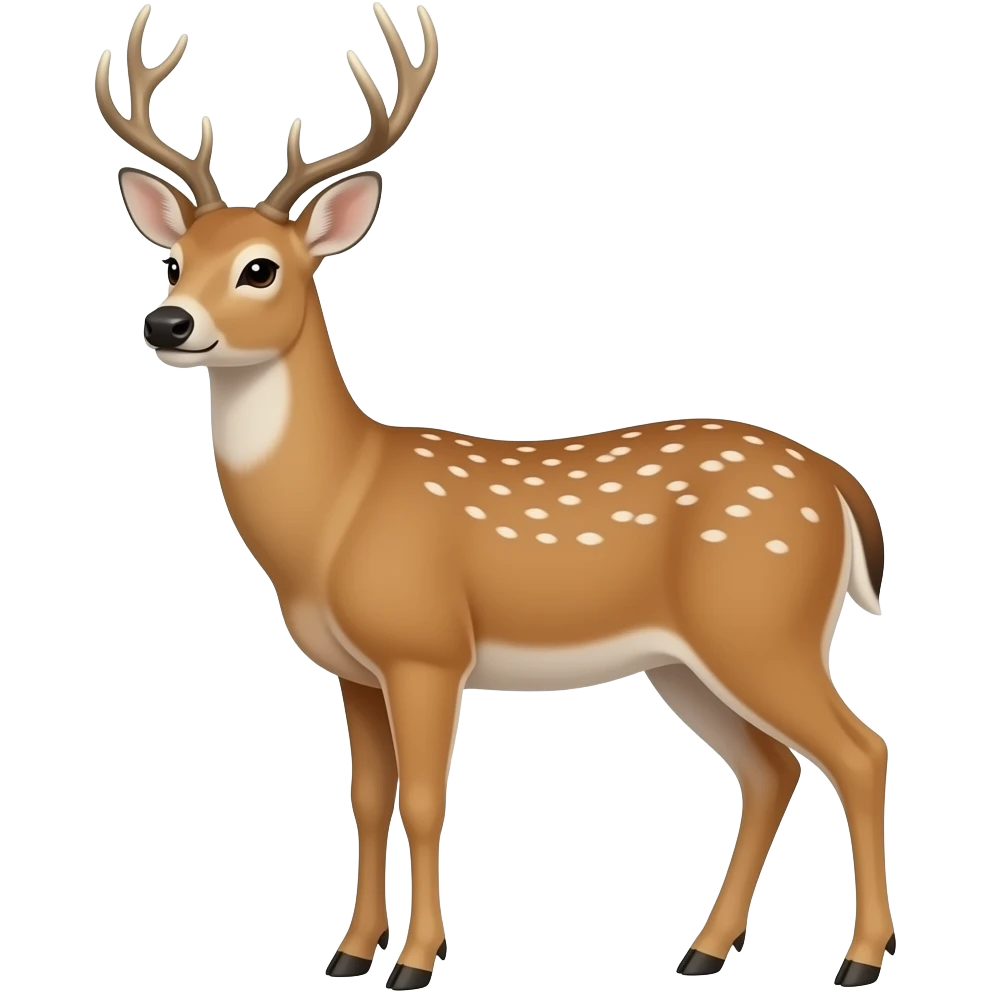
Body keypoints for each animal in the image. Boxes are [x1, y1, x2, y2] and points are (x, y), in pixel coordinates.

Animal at [95, 4, 894, 988]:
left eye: (260, 268)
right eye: (174, 259)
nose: (167, 323)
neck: (337, 511)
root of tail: (839, 481)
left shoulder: (428, 645)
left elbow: (425, 800)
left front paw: (415, 960)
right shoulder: (354, 669)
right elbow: (367, 798)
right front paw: (349, 953)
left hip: (763, 621)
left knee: (859, 752)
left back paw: (858, 960)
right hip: (688, 659)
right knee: (772, 767)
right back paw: (704, 949)